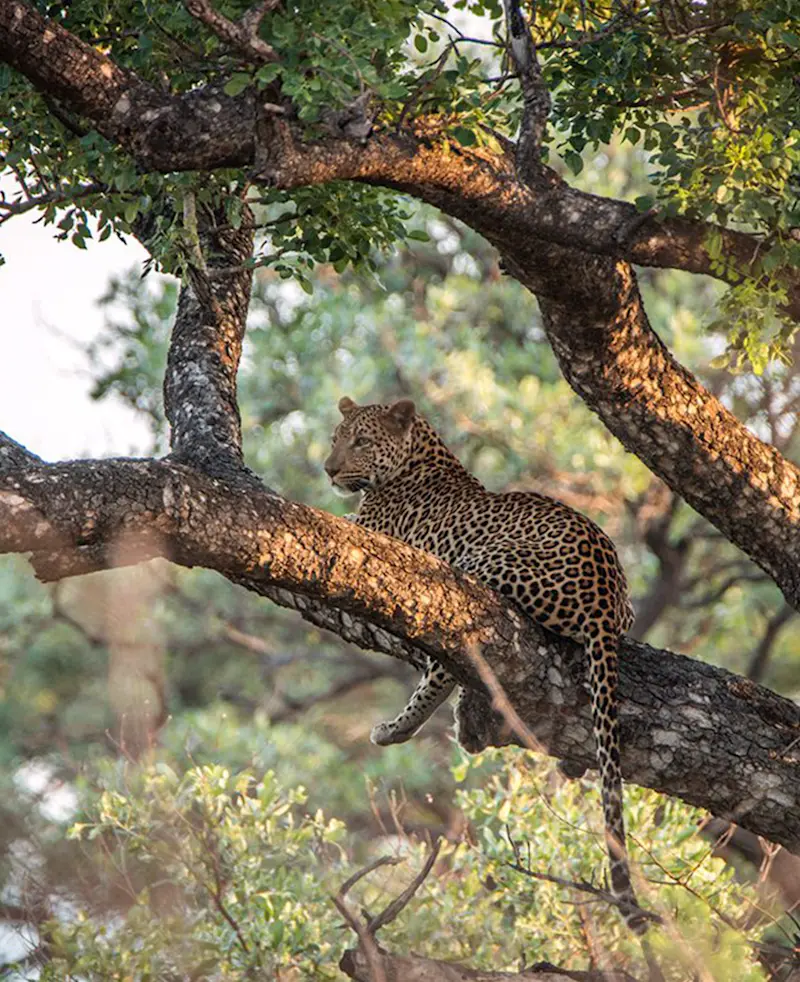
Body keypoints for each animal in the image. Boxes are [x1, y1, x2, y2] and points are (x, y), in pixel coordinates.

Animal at [324, 396, 643, 930]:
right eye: (335, 439)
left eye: (361, 441)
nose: (328, 469)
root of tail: (603, 593)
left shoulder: (367, 531)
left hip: (477, 568)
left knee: (447, 658)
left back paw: (399, 728)